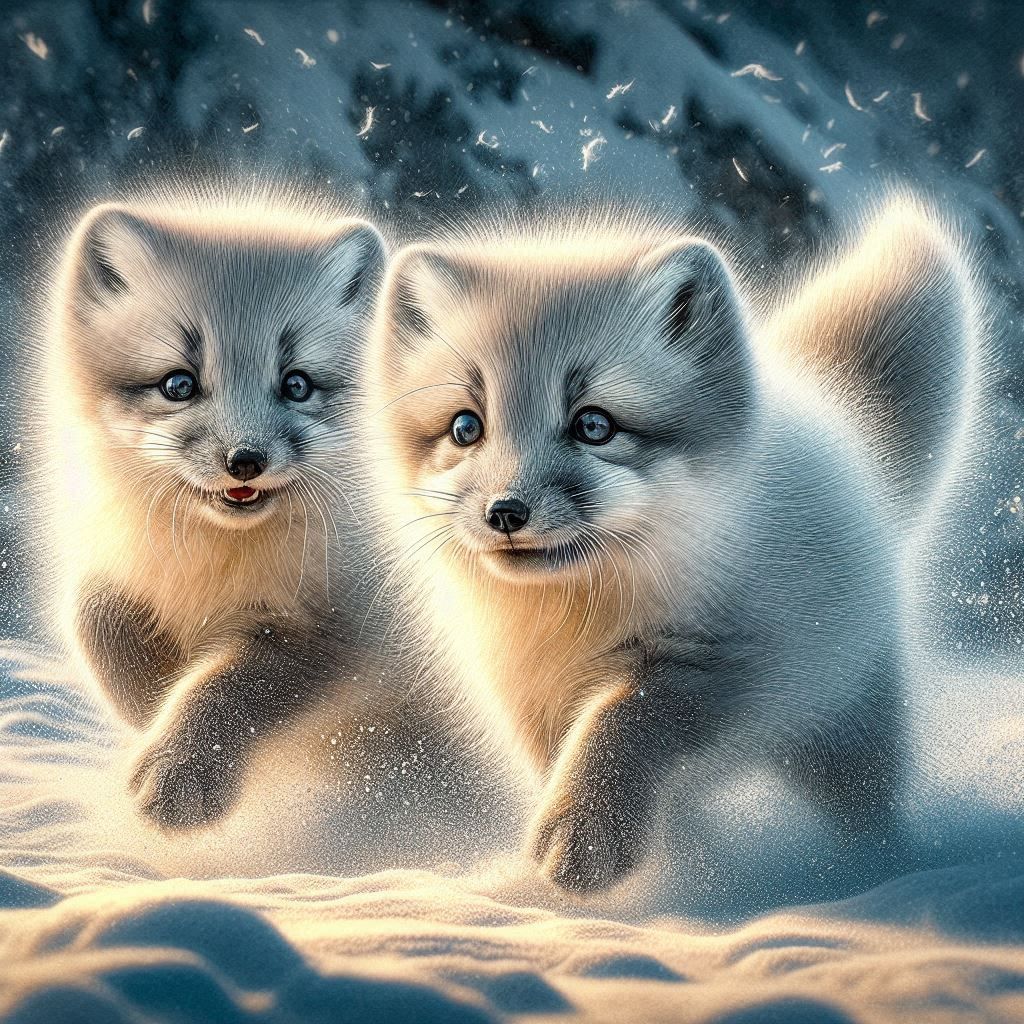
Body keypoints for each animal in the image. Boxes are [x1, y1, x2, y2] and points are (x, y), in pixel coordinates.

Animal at [44, 194, 391, 830]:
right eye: (178, 385)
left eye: (297, 384)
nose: (244, 460)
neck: (210, 562)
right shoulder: (117, 559)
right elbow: (94, 613)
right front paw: (147, 704)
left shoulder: (315, 623)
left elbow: (230, 688)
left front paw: (177, 771)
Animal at [365, 200, 980, 893]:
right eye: (466, 427)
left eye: (594, 425)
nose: (505, 512)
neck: (569, 620)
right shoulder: (527, 702)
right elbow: (581, 763)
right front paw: (663, 861)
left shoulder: (712, 660)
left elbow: (622, 725)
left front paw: (584, 839)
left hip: (849, 718)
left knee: (870, 810)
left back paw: (875, 865)